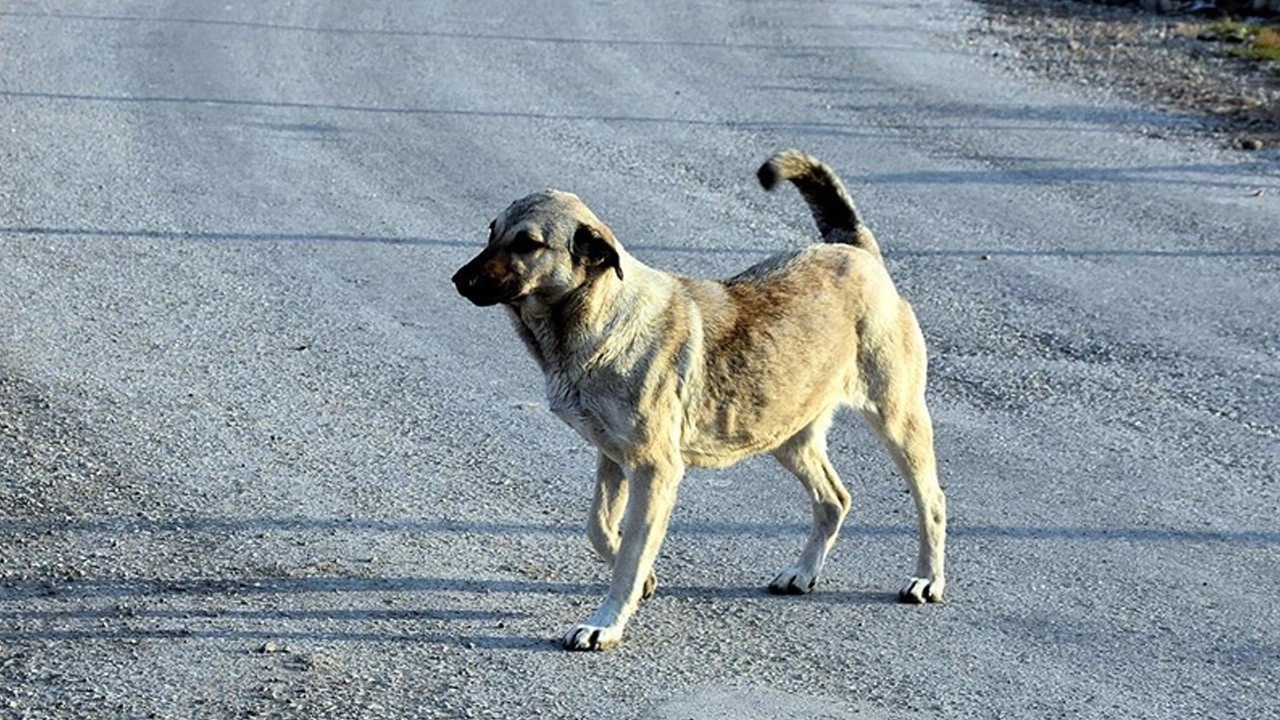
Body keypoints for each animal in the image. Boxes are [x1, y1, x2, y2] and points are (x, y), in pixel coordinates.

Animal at [455, 148, 947, 648]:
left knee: (932, 501)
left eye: (527, 243)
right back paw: (804, 572)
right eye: (492, 232)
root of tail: (855, 249)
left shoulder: (655, 470)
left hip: (897, 421)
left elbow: (629, 558)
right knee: (834, 499)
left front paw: (606, 623)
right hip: (786, 434)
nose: (459, 280)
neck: (600, 317)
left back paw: (928, 579)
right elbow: (600, 527)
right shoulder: (613, 458)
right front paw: (643, 579)